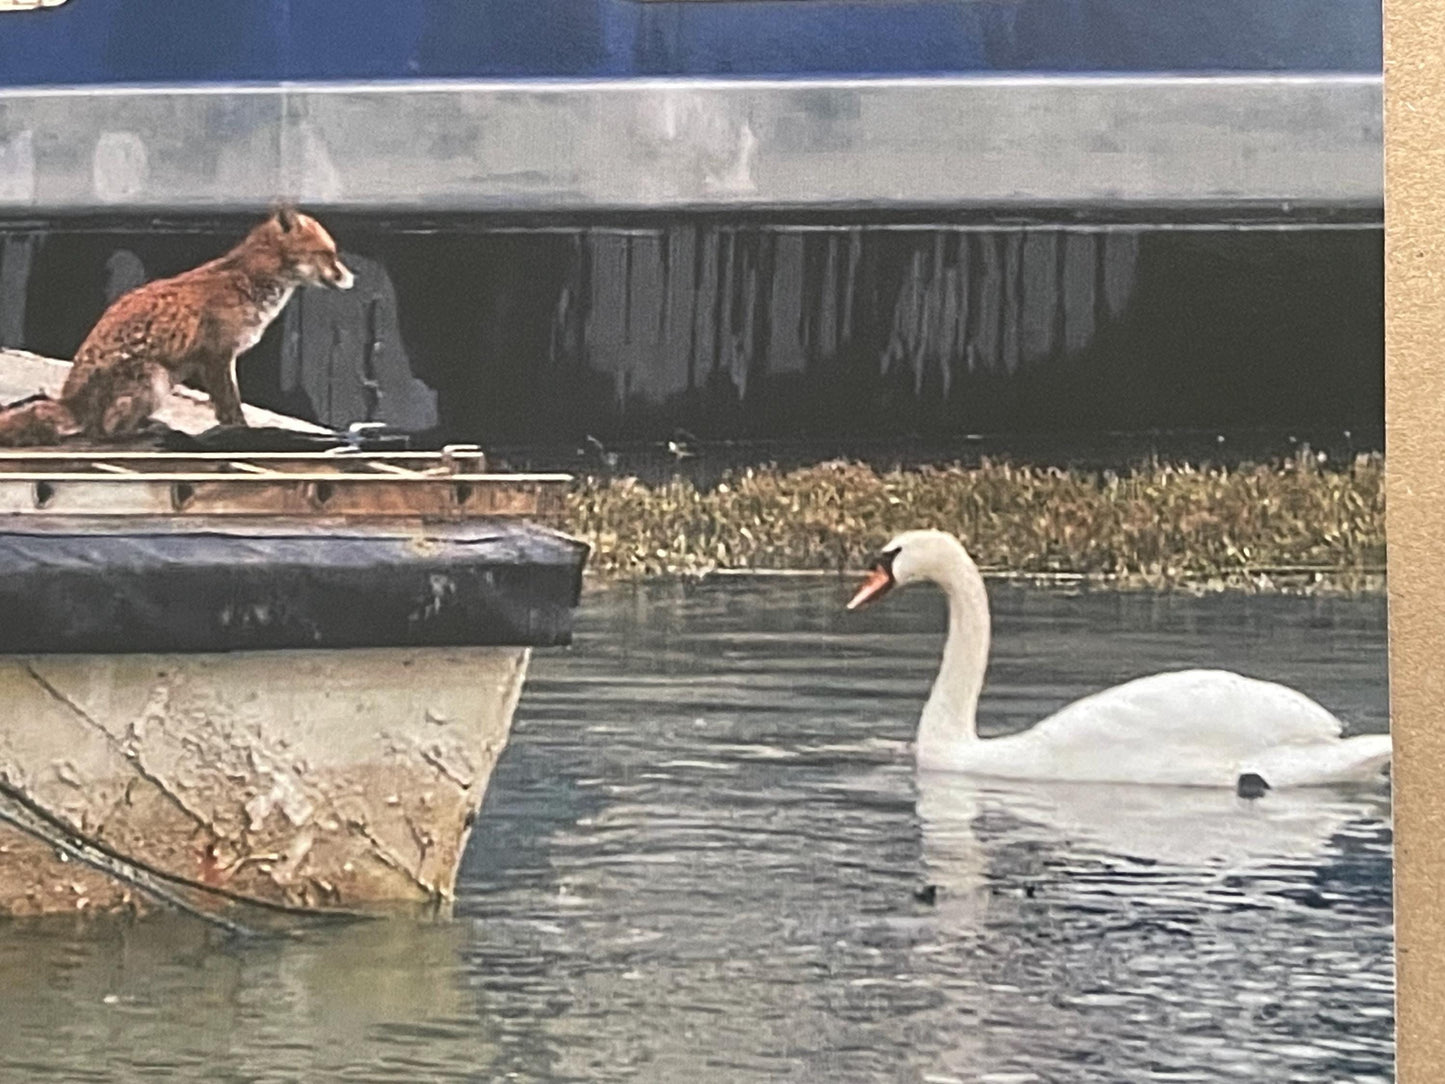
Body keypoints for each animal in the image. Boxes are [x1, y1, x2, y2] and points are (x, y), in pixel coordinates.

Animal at [0, 207, 354, 446]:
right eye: (326, 254)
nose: (351, 279)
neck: (248, 283)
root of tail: (71, 401)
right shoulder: (218, 357)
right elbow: (232, 409)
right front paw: (241, 434)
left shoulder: (215, 361)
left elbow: (224, 410)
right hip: (154, 377)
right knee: (103, 432)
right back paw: (143, 431)